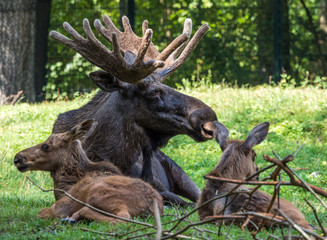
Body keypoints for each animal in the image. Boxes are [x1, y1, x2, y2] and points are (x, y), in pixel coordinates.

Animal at [14, 120, 163, 223]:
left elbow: (41, 213)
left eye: (45, 146)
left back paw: (74, 216)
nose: (17, 158)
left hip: (99, 195)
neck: (65, 187)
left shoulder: (61, 205)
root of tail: (152, 206)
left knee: (123, 217)